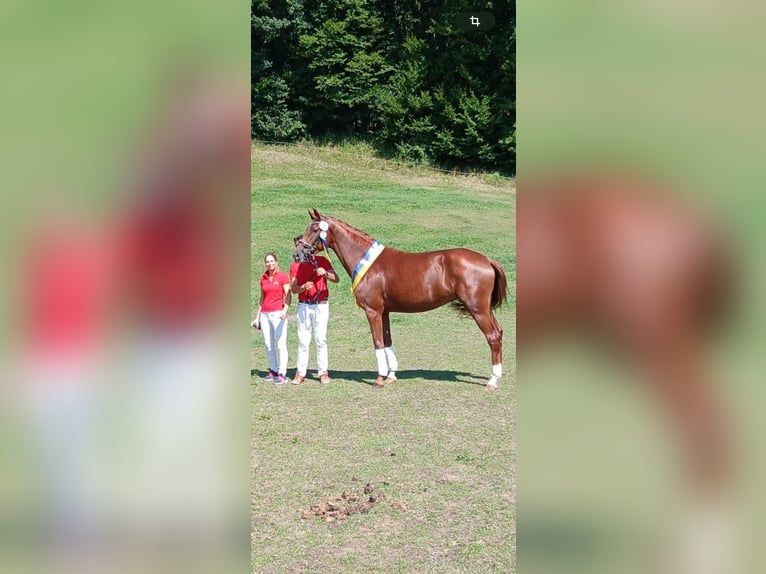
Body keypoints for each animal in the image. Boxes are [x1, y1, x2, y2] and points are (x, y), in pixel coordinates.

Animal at [293, 209, 508, 389]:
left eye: (314, 229)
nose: (297, 254)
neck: (368, 263)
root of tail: (487, 260)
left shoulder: (373, 311)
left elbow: (378, 342)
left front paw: (379, 379)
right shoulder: (385, 312)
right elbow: (388, 341)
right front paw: (390, 376)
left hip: (478, 309)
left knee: (492, 336)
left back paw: (492, 381)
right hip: (484, 309)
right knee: (498, 332)